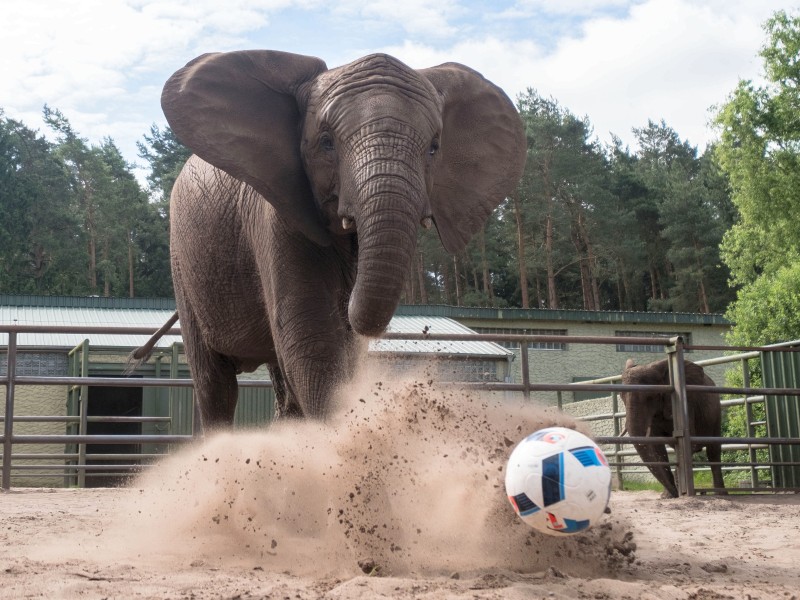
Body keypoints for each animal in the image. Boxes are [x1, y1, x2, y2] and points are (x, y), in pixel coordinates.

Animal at [133, 50, 524, 426]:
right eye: (326, 143)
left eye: (433, 148)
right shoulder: (275, 215)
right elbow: (312, 340)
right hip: (183, 262)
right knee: (216, 384)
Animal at [620, 358, 728, 500]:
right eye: (621, 396)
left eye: (650, 396)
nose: (675, 494)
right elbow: (657, 448)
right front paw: (667, 496)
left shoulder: (687, 404)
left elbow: (691, 445)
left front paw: (676, 493)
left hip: (715, 413)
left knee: (713, 451)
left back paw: (721, 494)